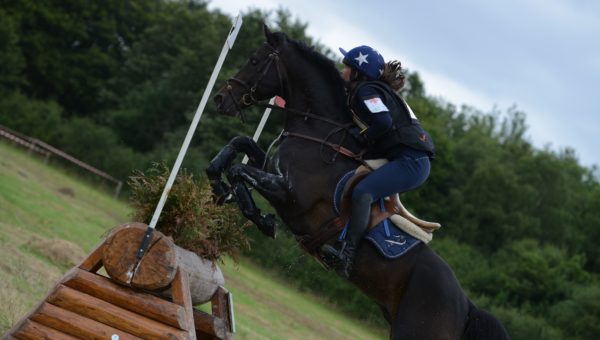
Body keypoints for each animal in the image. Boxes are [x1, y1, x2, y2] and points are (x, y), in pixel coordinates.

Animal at [205, 25, 506, 338]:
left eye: (254, 61)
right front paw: (218, 184)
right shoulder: (271, 168)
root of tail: (467, 306)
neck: (316, 131)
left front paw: (261, 219)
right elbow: (239, 144)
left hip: (414, 329)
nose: (220, 99)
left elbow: (239, 171)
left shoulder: (290, 194)